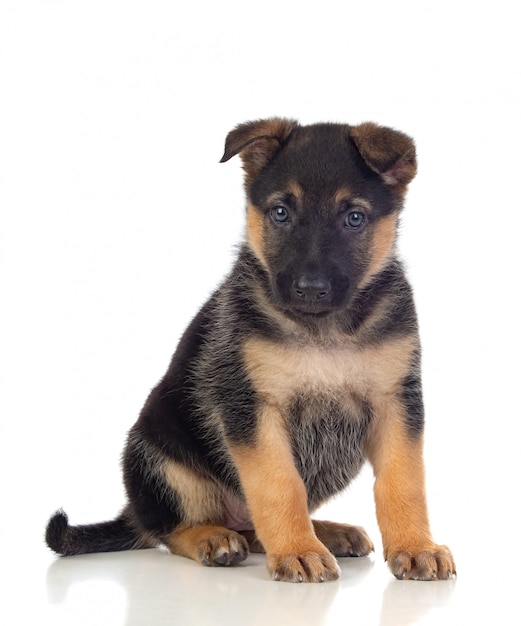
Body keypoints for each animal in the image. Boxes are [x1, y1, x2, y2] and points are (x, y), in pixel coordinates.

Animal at [47, 117, 456, 580]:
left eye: (354, 218)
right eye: (281, 213)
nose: (310, 289)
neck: (323, 329)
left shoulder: (396, 402)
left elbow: (403, 481)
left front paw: (415, 546)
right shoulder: (252, 408)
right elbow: (279, 484)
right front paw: (298, 550)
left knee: (253, 528)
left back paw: (326, 532)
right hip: (158, 457)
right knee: (171, 529)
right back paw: (212, 538)